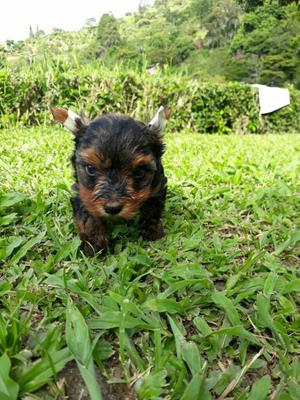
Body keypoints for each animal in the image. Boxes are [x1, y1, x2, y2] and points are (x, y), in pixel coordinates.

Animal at [50, 105, 170, 256]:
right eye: (90, 169)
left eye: (139, 171)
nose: (112, 208)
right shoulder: (83, 191)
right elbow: (87, 215)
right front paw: (94, 243)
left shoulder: (157, 185)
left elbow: (153, 207)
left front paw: (150, 229)